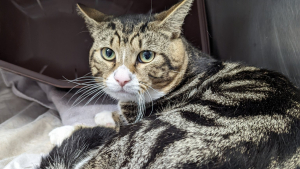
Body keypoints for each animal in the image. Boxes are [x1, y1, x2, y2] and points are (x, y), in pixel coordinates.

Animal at [38, 0, 300, 168]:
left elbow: (114, 124)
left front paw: (69, 128)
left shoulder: (136, 122)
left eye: (146, 56)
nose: (121, 78)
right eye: (108, 53)